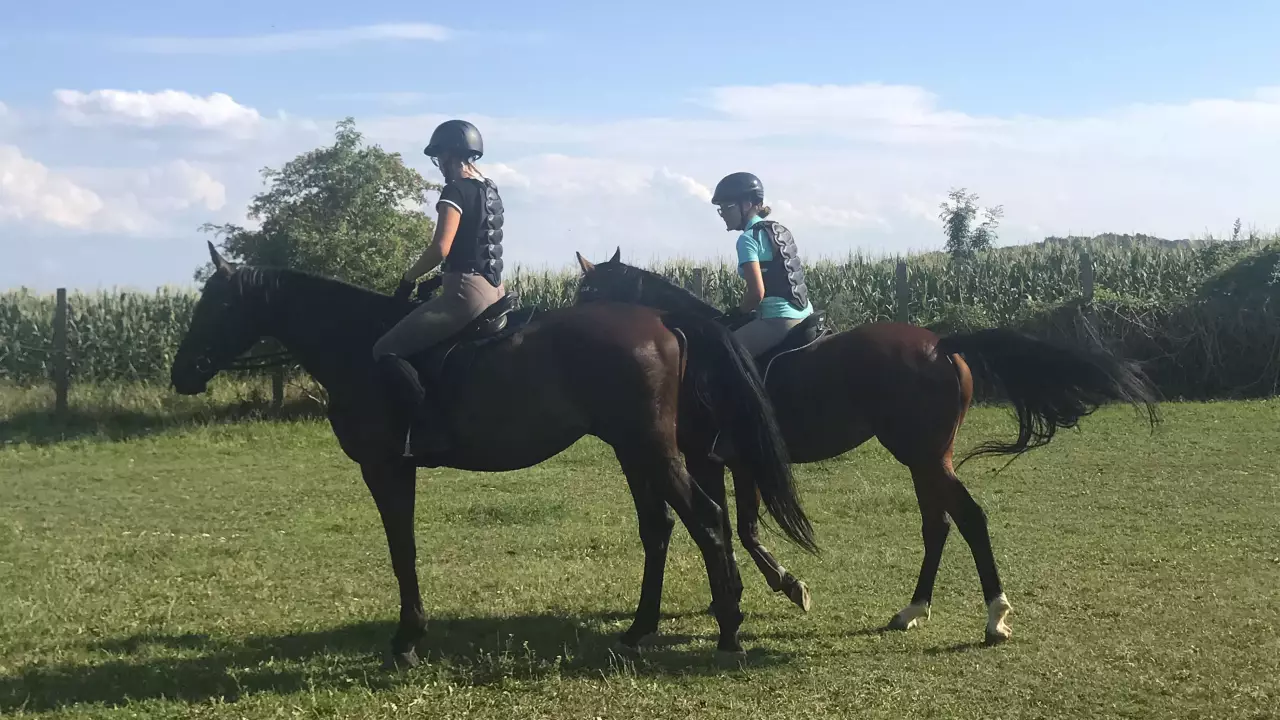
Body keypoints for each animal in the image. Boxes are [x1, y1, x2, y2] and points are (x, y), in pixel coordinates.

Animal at [167, 242, 819, 666]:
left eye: (216, 305)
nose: (182, 373)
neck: (355, 343)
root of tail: (663, 317)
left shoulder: (385, 467)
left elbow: (401, 550)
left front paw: (407, 640)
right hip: (638, 450)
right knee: (672, 525)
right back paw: (647, 627)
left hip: (651, 450)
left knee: (706, 519)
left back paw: (729, 629)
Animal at [570, 248, 1162, 645]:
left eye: (585, 296)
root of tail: (942, 344)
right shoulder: (737, 463)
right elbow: (743, 527)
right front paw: (763, 589)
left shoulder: (708, 458)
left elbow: (736, 528)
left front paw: (786, 586)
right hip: (930, 456)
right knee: (939, 522)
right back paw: (913, 609)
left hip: (920, 454)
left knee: (967, 517)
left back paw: (994, 617)